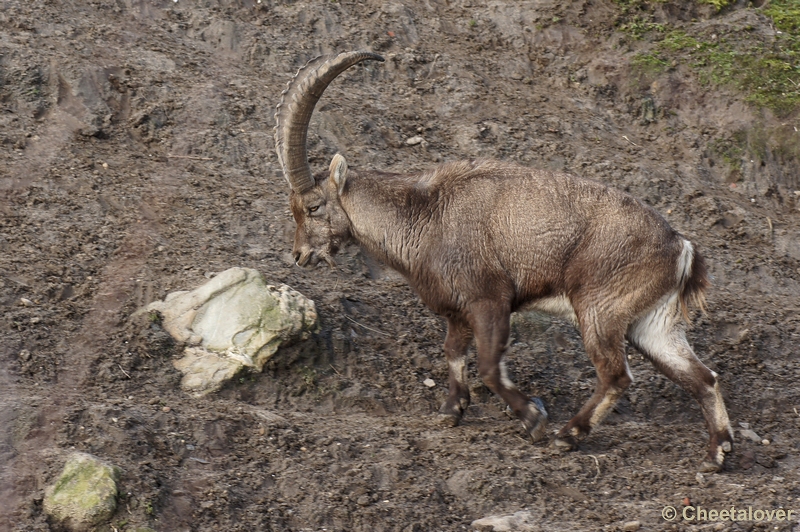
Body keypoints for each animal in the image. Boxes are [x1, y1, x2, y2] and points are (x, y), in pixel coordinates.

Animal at [274, 52, 732, 472]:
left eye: (313, 207)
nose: (300, 255)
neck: (424, 215)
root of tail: (681, 247)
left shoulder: (489, 299)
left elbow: (490, 367)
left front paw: (533, 417)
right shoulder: (457, 310)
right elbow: (453, 352)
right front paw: (452, 410)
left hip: (600, 310)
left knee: (616, 375)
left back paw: (568, 435)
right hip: (651, 322)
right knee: (702, 377)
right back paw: (717, 452)